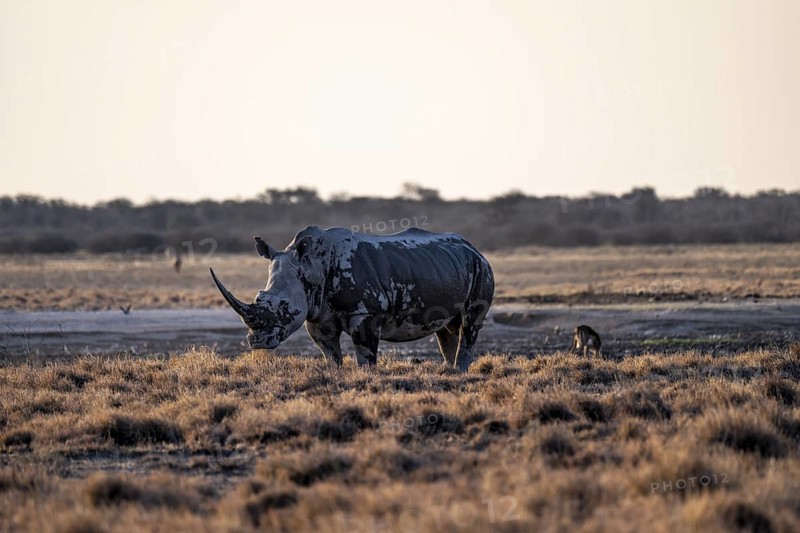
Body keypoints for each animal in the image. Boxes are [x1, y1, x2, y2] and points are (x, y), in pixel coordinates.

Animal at [210, 226, 494, 371]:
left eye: (284, 307)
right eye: (260, 296)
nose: (257, 342)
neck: (310, 266)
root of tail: (474, 248)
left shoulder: (365, 312)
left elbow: (365, 352)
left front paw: (366, 375)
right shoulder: (317, 313)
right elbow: (329, 351)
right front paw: (335, 374)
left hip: (481, 268)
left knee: (469, 322)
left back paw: (459, 371)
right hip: (447, 266)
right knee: (446, 327)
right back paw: (449, 372)